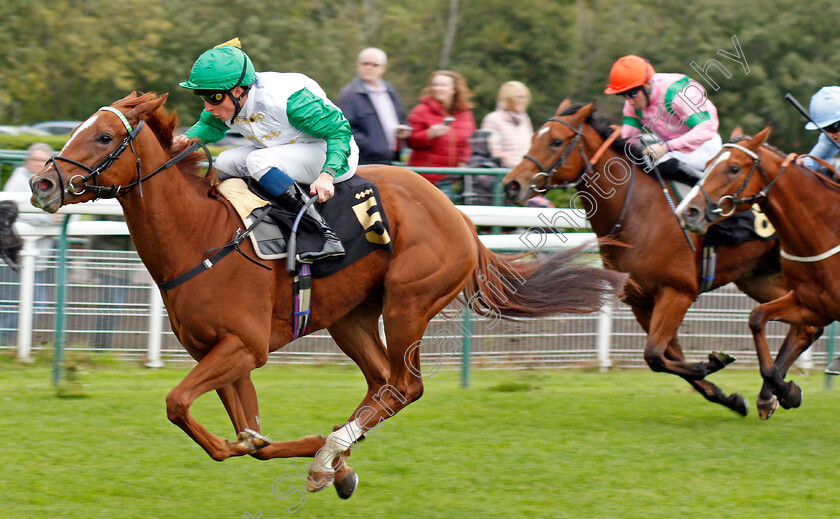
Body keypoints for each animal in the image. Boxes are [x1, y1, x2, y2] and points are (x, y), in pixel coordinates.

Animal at [27, 92, 624, 500]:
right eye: (81, 130)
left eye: (105, 138)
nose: (41, 185)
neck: (200, 236)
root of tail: (458, 217)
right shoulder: (219, 354)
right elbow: (251, 434)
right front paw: (313, 457)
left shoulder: (244, 347)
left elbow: (181, 406)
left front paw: (311, 451)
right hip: (350, 317)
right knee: (382, 384)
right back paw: (333, 455)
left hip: (409, 302)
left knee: (405, 386)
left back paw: (330, 453)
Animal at [502, 102, 816, 418]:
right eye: (533, 137)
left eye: (555, 141)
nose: (512, 184)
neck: (638, 213)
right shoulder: (640, 301)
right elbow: (665, 358)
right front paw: (731, 397)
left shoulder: (677, 292)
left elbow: (655, 355)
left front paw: (714, 363)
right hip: (761, 278)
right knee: (805, 325)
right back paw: (776, 392)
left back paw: (777, 389)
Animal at [680, 128, 836, 420]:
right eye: (707, 164)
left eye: (733, 168)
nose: (688, 212)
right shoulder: (813, 302)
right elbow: (757, 318)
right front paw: (783, 392)